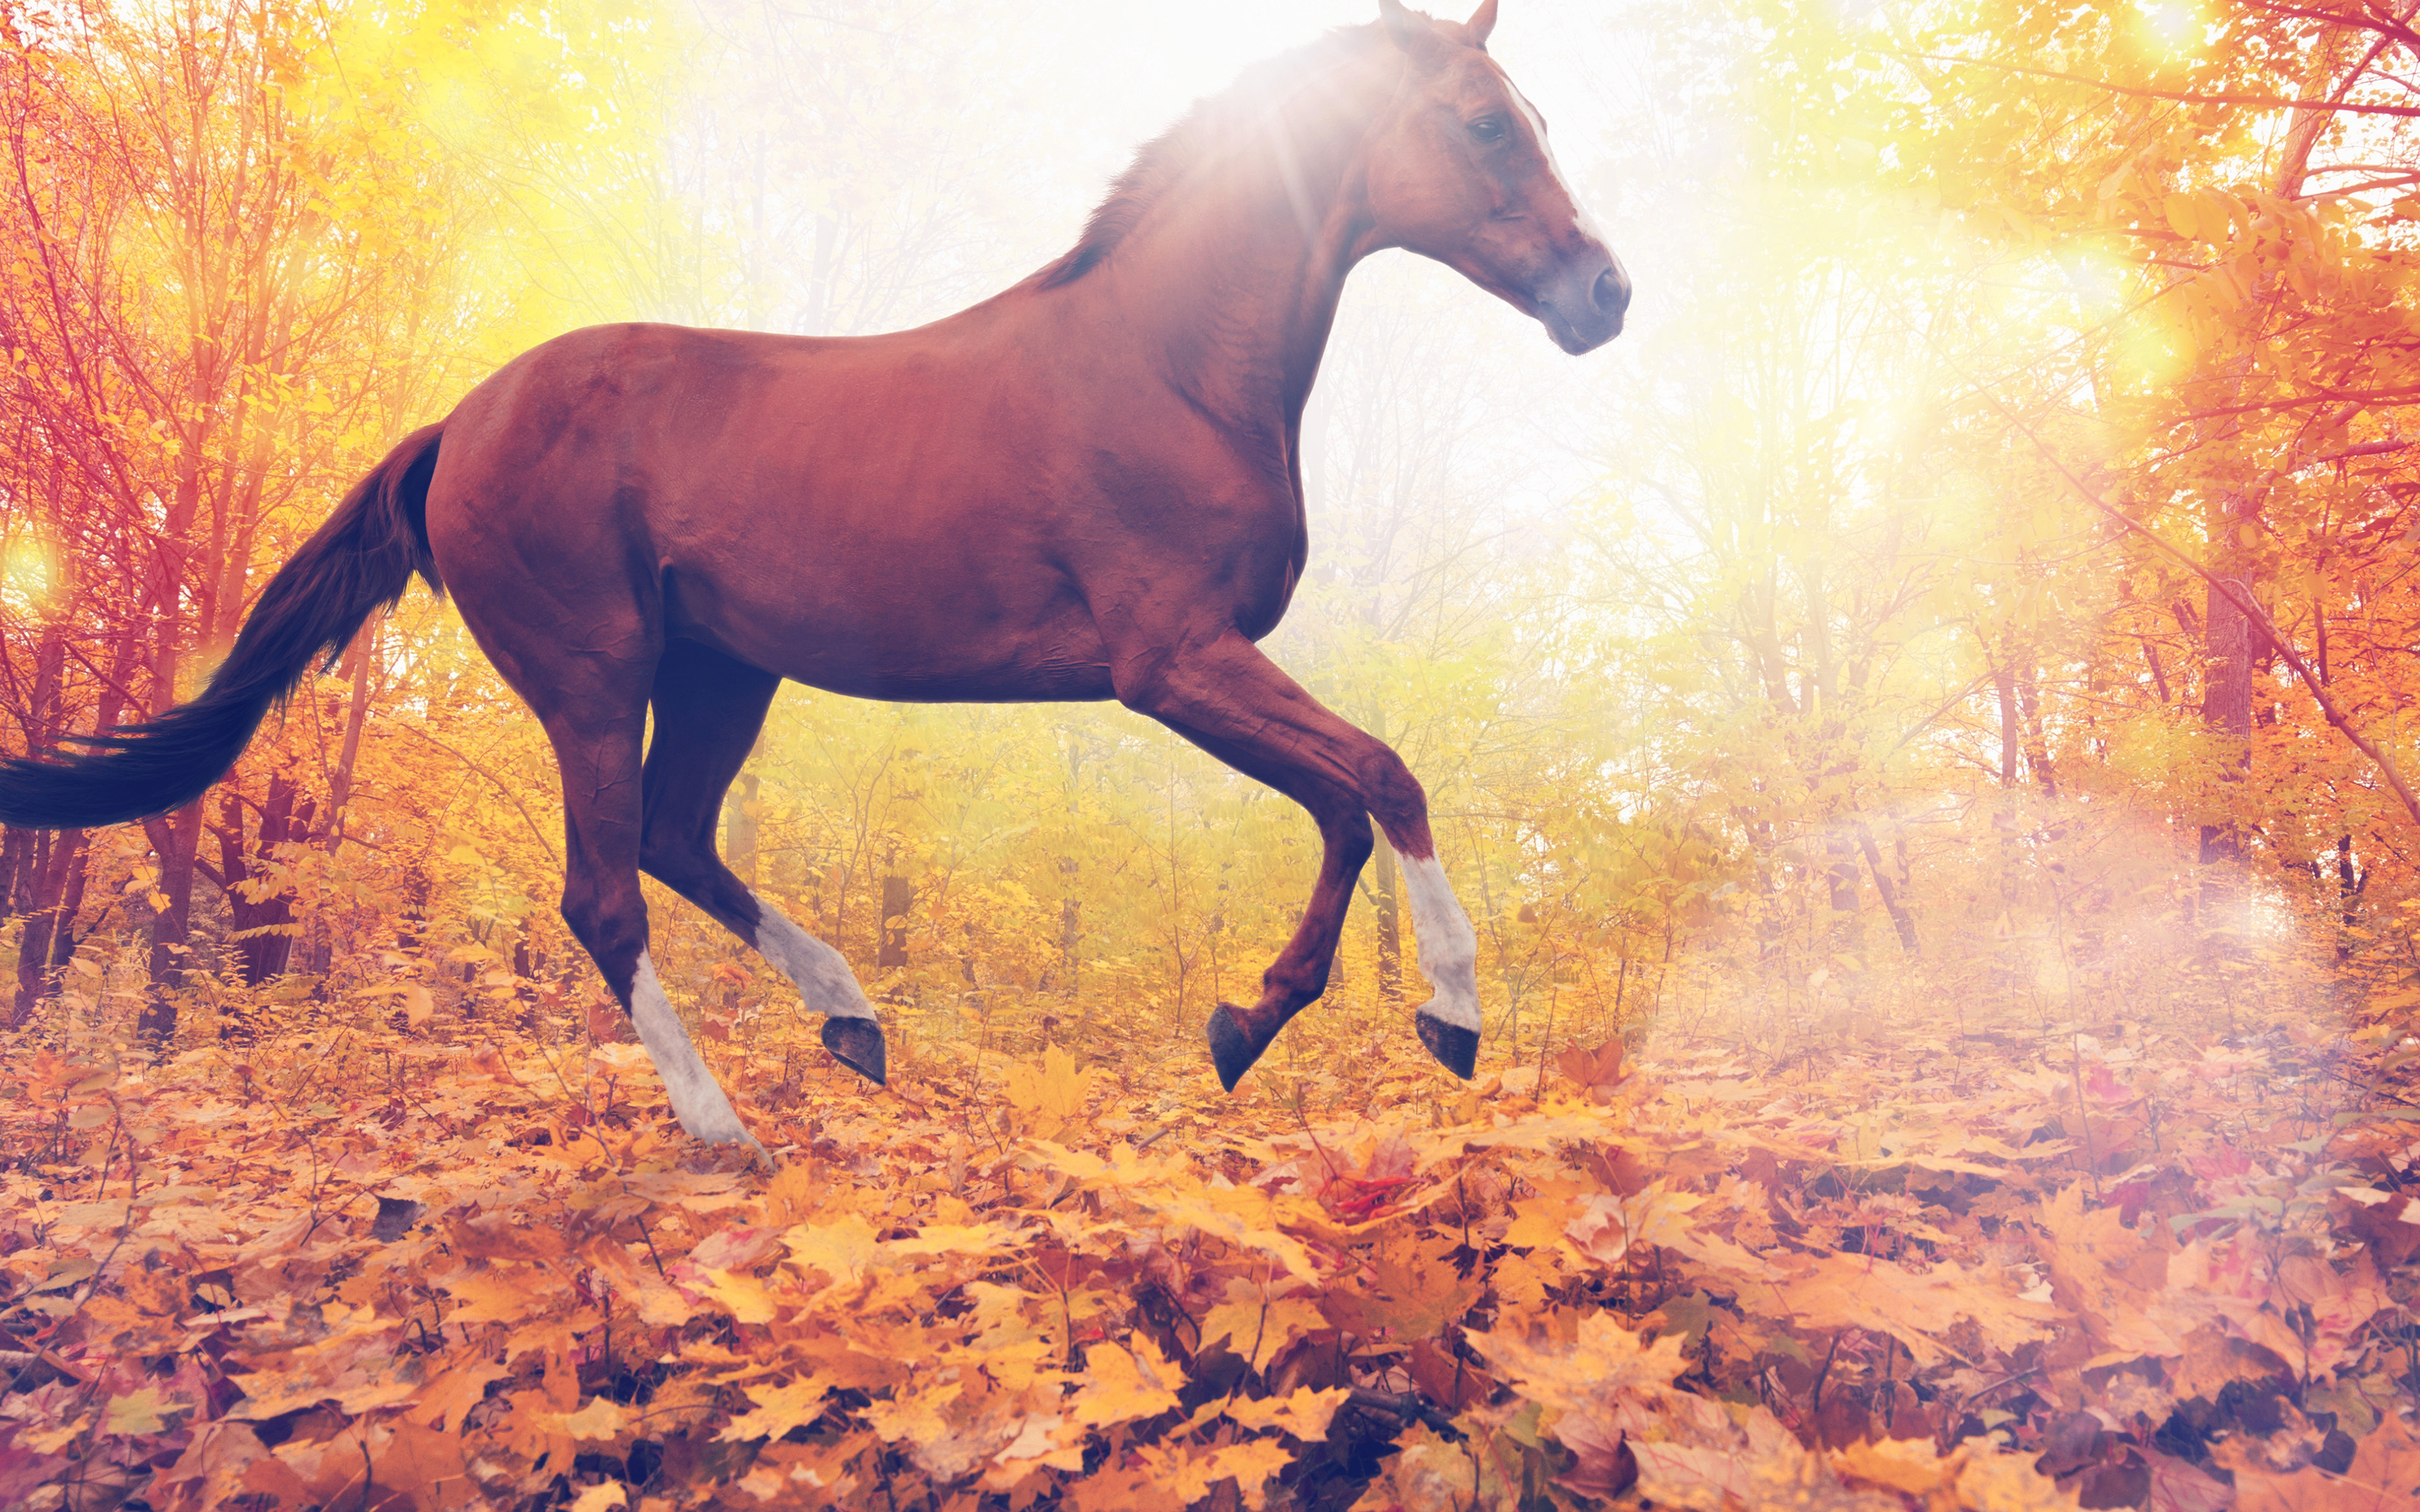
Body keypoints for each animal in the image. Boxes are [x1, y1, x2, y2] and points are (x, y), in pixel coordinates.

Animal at [0, 0, 1625, 1150]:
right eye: (1484, 124)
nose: (1603, 293)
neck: (1164, 364)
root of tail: (458, 422)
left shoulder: (1192, 670)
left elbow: (1343, 804)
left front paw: (1248, 1022)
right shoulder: (1170, 661)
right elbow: (1384, 777)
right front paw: (1453, 1016)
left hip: (727, 670)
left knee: (675, 841)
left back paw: (853, 1022)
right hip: (596, 676)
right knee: (606, 893)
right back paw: (730, 1129)